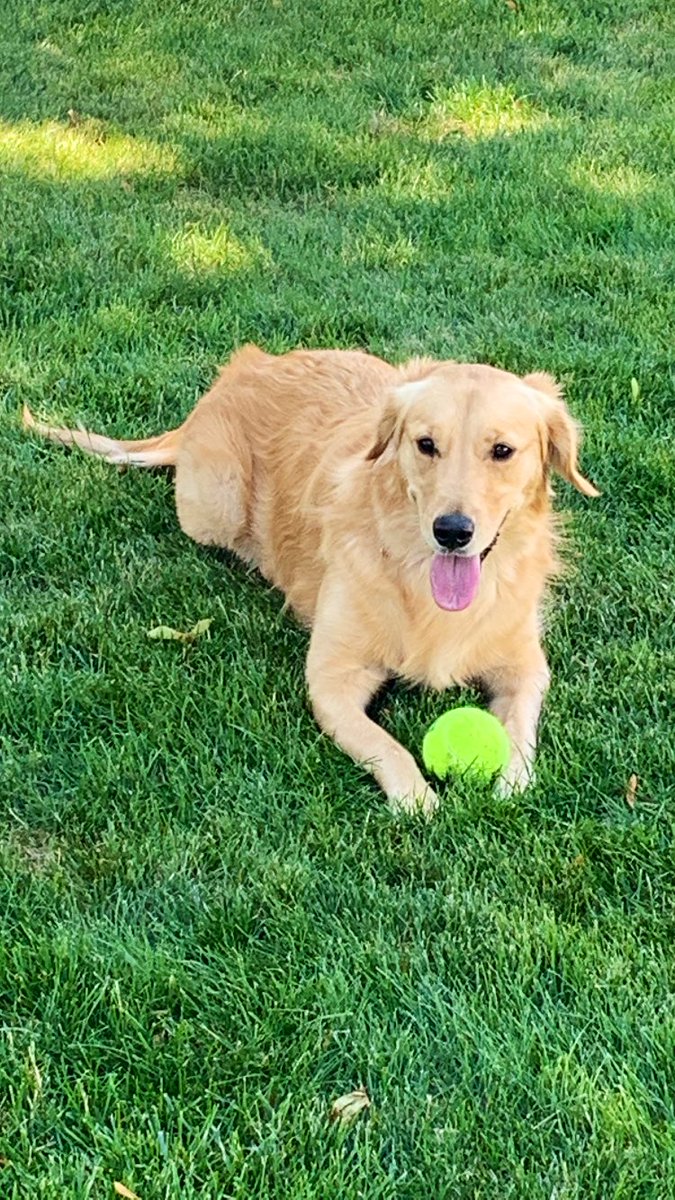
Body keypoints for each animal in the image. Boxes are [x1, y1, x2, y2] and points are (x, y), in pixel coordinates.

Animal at [23, 348, 595, 816]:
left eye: (502, 451)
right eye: (426, 444)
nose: (452, 532)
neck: (416, 578)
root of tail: (245, 366)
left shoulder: (525, 666)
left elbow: (519, 730)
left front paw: (511, 782)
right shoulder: (332, 679)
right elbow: (387, 746)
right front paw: (417, 799)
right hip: (213, 508)